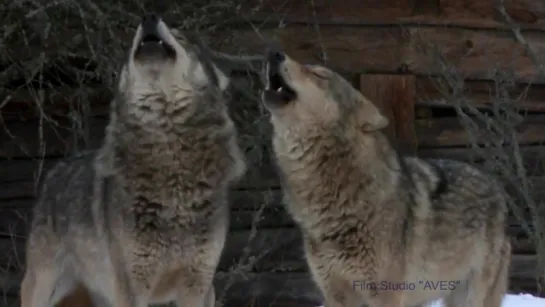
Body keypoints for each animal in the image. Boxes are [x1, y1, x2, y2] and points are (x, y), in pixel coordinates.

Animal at [19, 13, 244, 307]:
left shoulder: (199, 285)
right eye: (130, 46)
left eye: (180, 36)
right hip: (43, 287)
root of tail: (55, 171)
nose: (148, 18)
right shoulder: (132, 288)